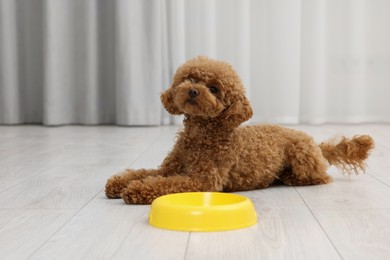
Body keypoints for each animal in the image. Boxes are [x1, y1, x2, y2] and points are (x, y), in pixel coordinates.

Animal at [104, 55, 374, 204]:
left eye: (214, 89)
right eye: (190, 79)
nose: (193, 91)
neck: (200, 135)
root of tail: (316, 144)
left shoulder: (204, 180)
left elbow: (164, 184)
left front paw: (136, 189)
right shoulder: (169, 167)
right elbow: (145, 172)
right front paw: (119, 183)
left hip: (302, 156)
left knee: (322, 177)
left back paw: (290, 178)